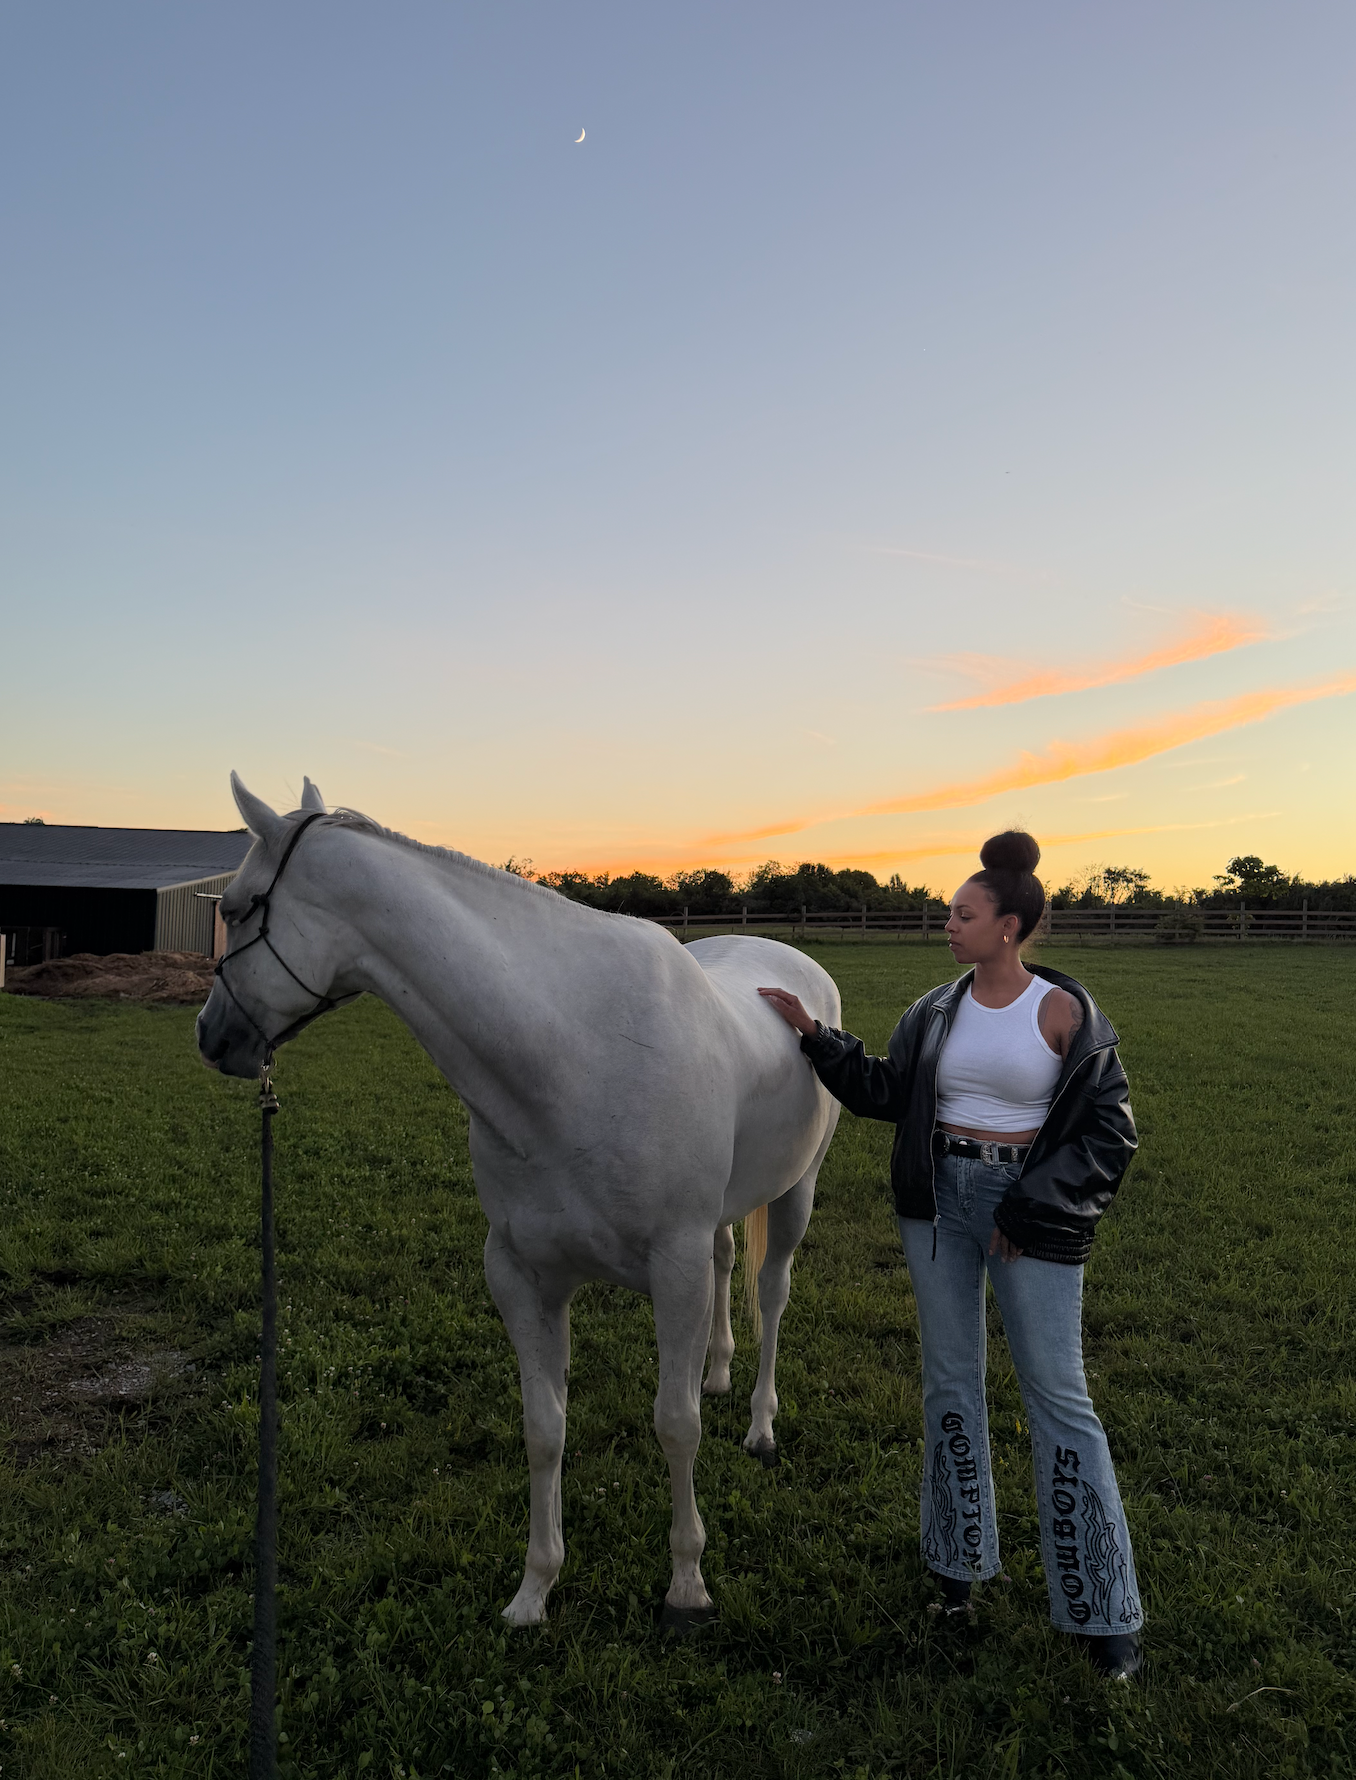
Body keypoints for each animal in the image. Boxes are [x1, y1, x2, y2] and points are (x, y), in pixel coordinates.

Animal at [196, 774, 841, 1628]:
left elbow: (675, 1426)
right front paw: (536, 1587)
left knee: (772, 1295)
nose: (211, 1037)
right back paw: (717, 1372)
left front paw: (686, 1582)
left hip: (795, 1194)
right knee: (729, 1263)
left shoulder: (670, 1269)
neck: (571, 1055)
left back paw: (762, 1423)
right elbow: (544, 1429)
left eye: (237, 908)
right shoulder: (523, 1274)